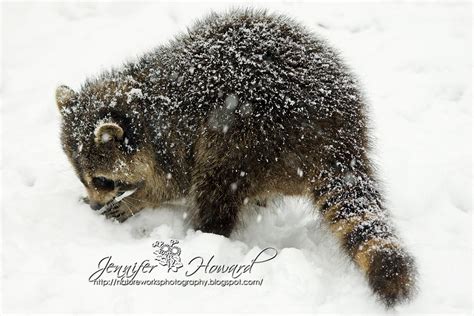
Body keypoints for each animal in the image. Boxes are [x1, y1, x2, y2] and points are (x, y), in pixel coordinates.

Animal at [56, 9, 414, 306]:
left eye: (102, 180)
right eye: (83, 179)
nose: (94, 206)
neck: (144, 103)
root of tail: (337, 137)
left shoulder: (173, 143)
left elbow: (171, 185)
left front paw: (136, 200)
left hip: (250, 135)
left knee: (215, 182)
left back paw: (204, 235)